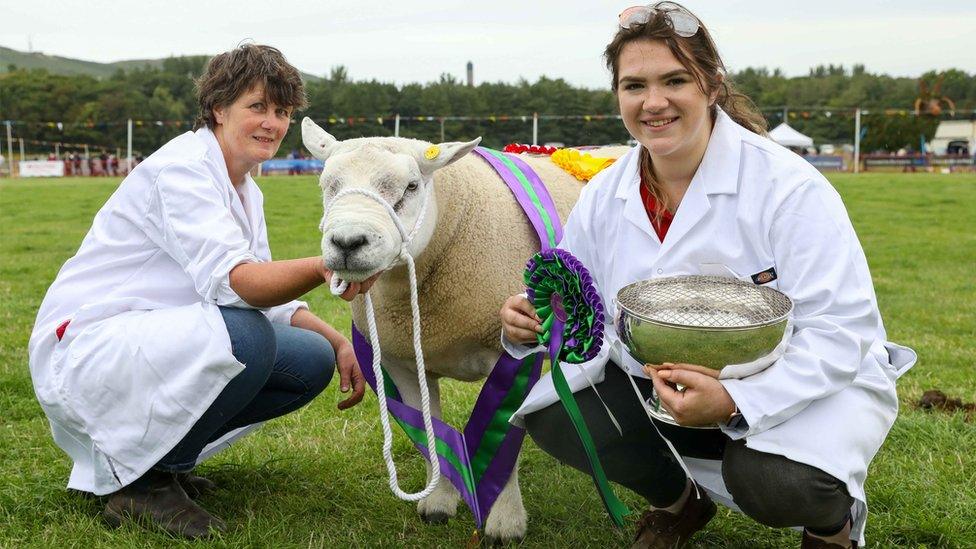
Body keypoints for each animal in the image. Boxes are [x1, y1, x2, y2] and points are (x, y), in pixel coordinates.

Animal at [302, 117, 624, 540]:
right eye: (327, 185)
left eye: (411, 186)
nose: (347, 242)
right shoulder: (401, 361)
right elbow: (428, 432)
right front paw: (438, 503)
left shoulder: (511, 355)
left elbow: (506, 435)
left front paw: (505, 521)